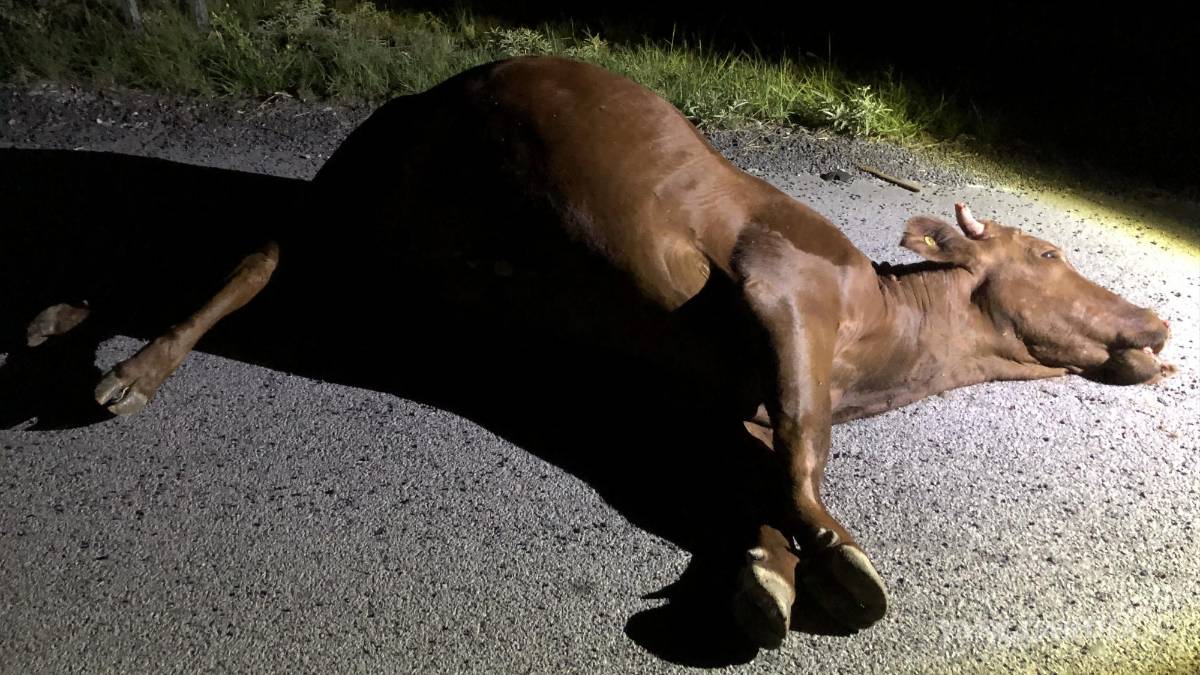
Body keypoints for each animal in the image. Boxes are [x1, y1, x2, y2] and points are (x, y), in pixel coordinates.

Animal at [21, 56, 1174, 648]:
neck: (882, 352)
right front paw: (835, 556)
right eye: (1048, 250)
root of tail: (424, 90)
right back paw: (126, 370)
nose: (1159, 323)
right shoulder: (781, 290)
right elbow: (803, 454)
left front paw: (767, 570)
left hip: (401, 255)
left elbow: (760, 471)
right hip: (373, 188)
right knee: (253, 253)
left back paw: (59, 320)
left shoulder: (719, 400)